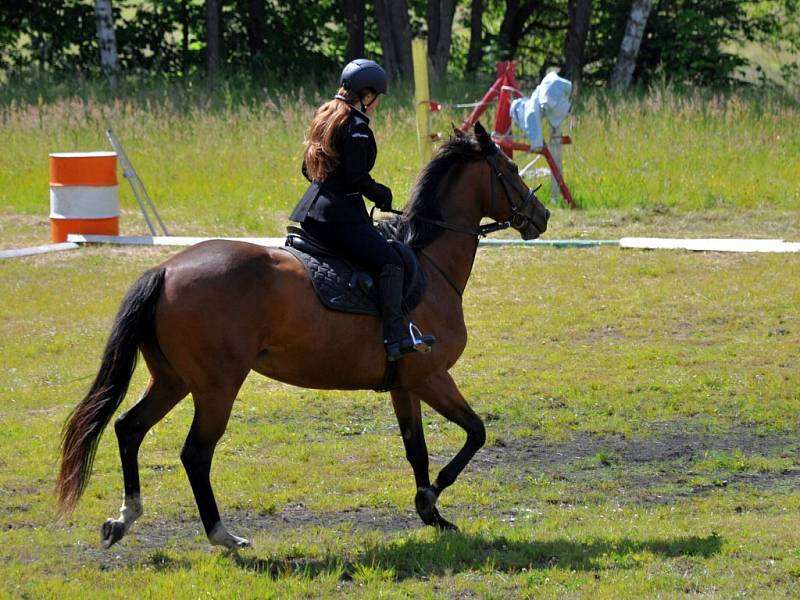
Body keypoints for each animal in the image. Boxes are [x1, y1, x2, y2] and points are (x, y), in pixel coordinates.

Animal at [56, 122, 552, 548]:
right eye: (510, 170)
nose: (542, 216)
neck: (430, 268)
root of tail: (164, 269)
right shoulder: (431, 377)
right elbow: (475, 433)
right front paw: (432, 496)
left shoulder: (405, 385)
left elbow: (417, 448)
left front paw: (431, 512)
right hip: (216, 387)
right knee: (195, 454)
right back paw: (222, 535)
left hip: (172, 379)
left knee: (128, 428)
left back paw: (124, 519)